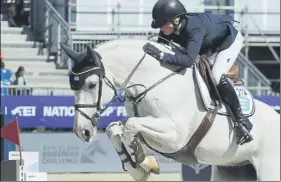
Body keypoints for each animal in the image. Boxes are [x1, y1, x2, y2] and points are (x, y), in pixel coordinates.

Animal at [60, 39, 278, 181]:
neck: (152, 81)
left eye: (91, 85)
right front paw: (139, 168)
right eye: (72, 87)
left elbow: (130, 126)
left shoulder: (175, 137)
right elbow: (116, 128)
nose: (81, 131)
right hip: (232, 169)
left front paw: (145, 162)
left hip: (268, 170)